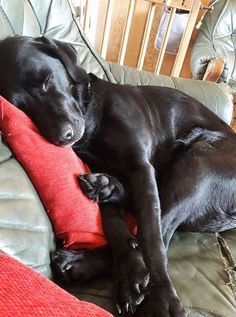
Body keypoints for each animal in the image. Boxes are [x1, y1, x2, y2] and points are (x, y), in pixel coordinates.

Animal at [0, 35, 236, 316]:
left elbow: (151, 237)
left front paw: (162, 295)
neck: (92, 117)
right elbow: (114, 224)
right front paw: (128, 271)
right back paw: (104, 195)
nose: (63, 137)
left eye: (46, 79)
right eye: (21, 107)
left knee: (160, 226)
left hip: (197, 163)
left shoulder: (141, 167)